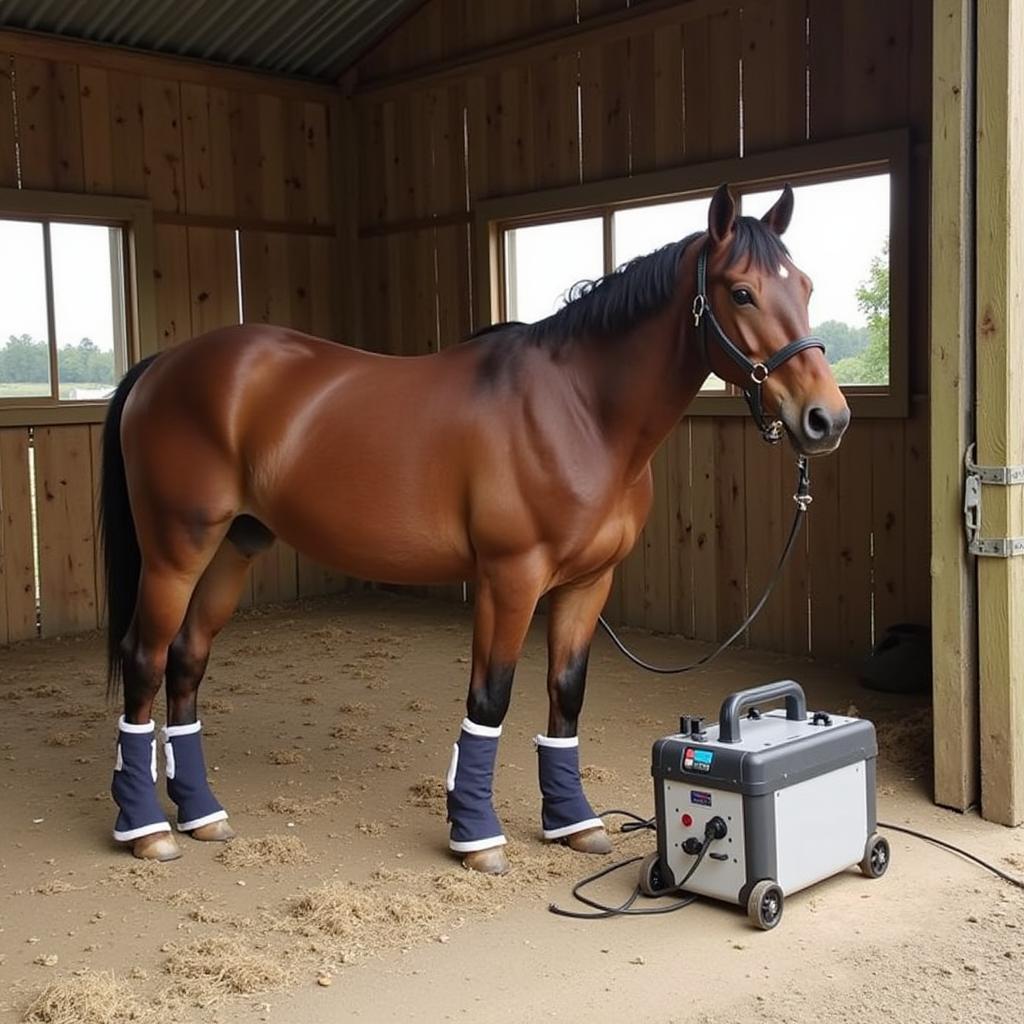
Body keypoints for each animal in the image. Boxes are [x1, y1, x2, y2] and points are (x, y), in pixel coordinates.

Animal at [99, 186, 847, 872]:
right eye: (742, 293)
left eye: (806, 285)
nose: (826, 418)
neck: (579, 411)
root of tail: (165, 365)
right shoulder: (509, 579)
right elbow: (490, 700)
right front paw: (477, 835)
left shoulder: (587, 584)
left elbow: (566, 696)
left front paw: (572, 822)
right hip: (176, 551)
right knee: (145, 658)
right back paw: (146, 829)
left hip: (234, 546)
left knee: (187, 659)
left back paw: (201, 813)